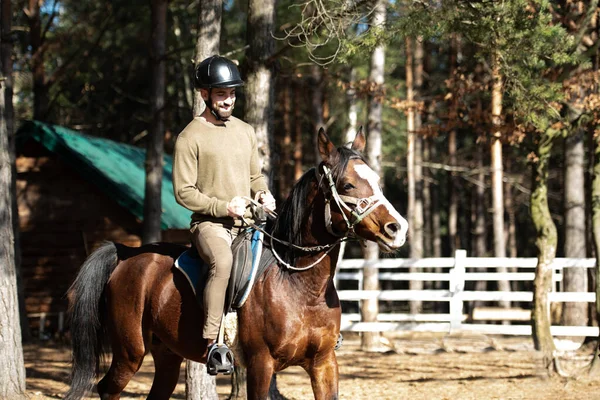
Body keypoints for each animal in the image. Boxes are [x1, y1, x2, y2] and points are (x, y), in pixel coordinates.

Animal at [65, 129, 410, 400]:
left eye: (377, 180)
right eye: (348, 185)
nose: (398, 228)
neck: (299, 285)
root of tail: (127, 254)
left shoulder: (324, 363)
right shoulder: (261, 364)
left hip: (167, 356)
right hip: (130, 352)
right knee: (107, 389)